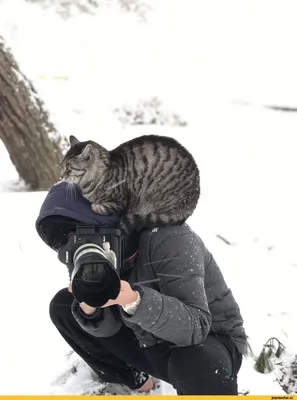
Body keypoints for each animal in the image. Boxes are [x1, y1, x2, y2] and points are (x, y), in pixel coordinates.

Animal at [59, 135, 199, 233]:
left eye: (68, 168)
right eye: (61, 165)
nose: (60, 176)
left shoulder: (119, 203)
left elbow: (99, 207)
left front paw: (95, 205)